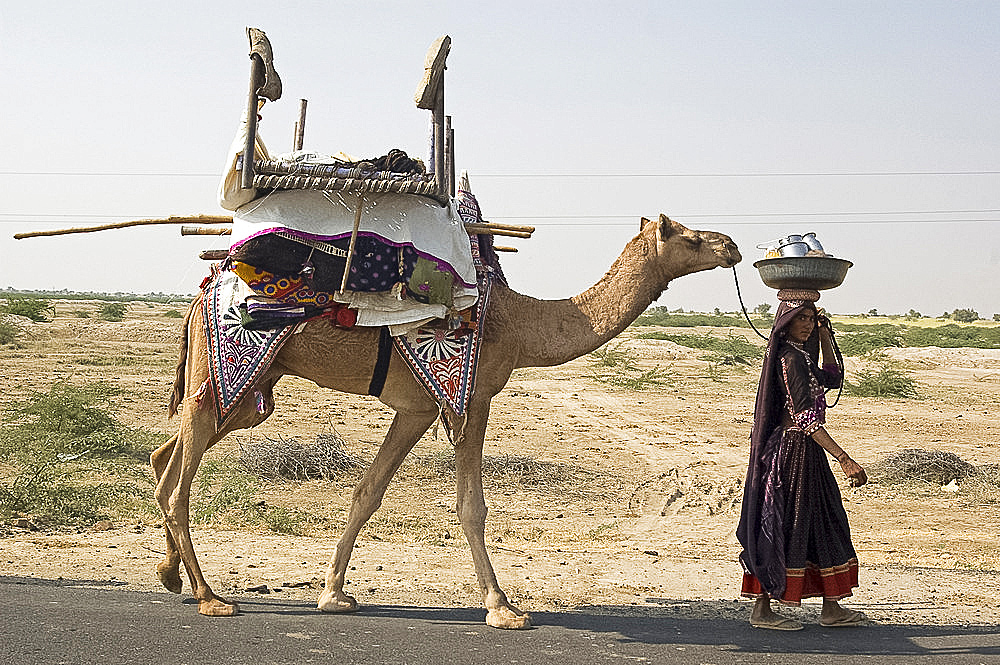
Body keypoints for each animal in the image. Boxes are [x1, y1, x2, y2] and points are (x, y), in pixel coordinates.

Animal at [150, 214, 744, 628]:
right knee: (179, 482)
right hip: (228, 369)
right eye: (690, 238)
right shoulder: (473, 395)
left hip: (246, 391)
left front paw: (334, 594)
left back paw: (170, 573)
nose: (731, 245)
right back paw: (209, 597)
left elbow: (367, 492)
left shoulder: (417, 408)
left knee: (165, 457)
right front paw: (503, 607)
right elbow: (471, 506)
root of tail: (202, 293)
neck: (521, 322)